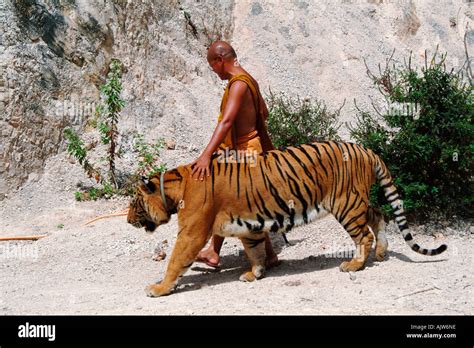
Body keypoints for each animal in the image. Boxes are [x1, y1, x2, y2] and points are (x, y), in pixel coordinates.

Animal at [128, 140, 446, 298]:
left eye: (134, 202)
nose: (128, 219)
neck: (173, 188)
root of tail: (366, 149)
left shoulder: (192, 233)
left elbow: (175, 261)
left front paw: (159, 289)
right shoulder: (249, 226)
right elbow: (255, 251)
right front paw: (254, 274)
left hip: (346, 203)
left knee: (363, 234)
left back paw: (354, 264)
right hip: (357, 200)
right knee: (379, 214)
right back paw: (381, 253)